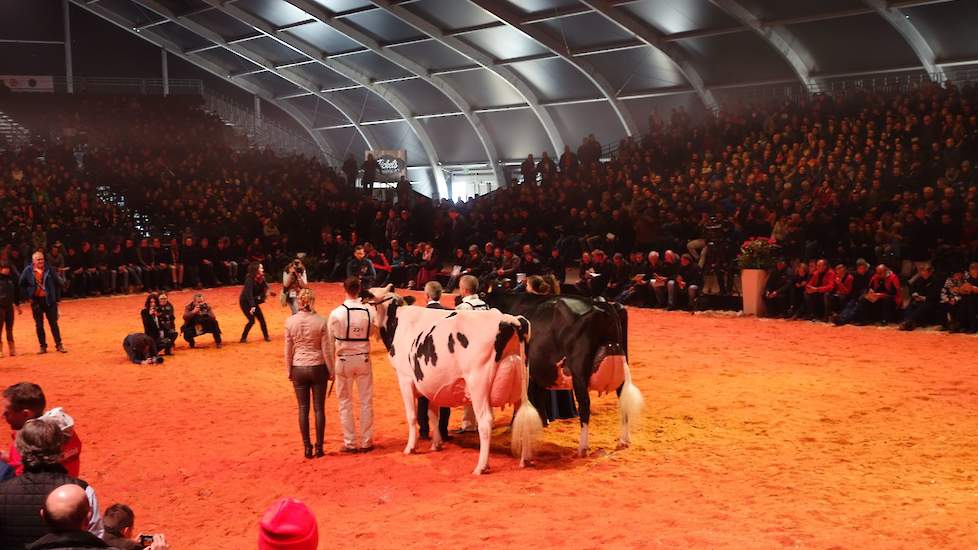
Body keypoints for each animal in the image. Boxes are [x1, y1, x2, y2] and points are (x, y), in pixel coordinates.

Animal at [366, 286, 544, 476]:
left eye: (365, 300)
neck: (396, 320)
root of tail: (508, 319)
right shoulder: (430, 383)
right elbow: (433, 414)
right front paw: (436, 444)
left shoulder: (404, 377)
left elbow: (412, 415)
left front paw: (410, 448)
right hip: (521, 383)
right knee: (522, 415)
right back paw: (525, 460)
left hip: (478, 383)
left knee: (485, 421)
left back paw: (481, 466)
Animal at [486, 294, 640, 458]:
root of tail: (603, 306)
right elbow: (536, 397)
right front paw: (540, 423)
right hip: (621, 365)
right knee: (623, 398)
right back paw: (624, 440)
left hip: (579, 371)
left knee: (585, 404)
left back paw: (582, 448)